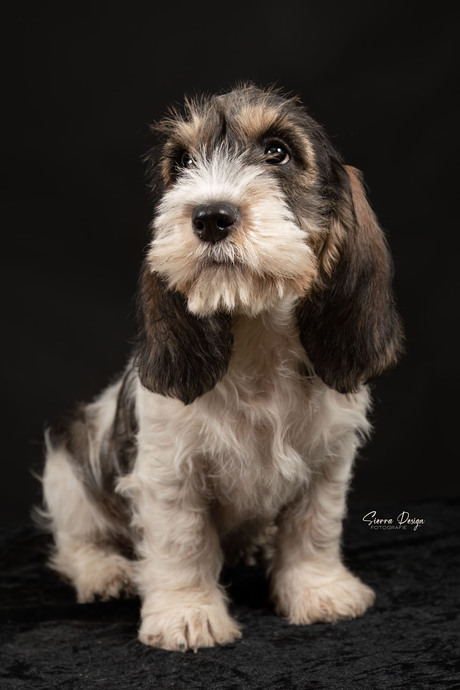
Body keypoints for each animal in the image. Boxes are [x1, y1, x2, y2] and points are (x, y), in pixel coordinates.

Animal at [40, 83, 406, 648]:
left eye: (277, 151)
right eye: (182, 162)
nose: (210, 216)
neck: (259, 341)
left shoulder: (327, 461)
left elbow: (314, 528)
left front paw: (319, 592)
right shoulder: (170, 472)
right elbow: (182, 542)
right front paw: (187, 614)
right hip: (70, 467)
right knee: (77, 542)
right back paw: (105, 573)